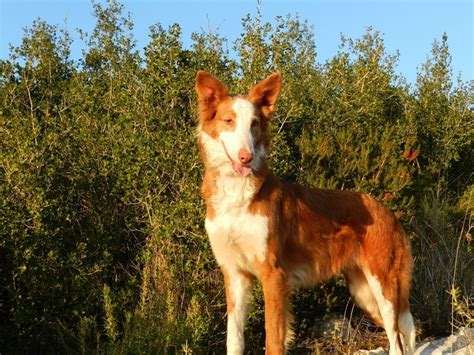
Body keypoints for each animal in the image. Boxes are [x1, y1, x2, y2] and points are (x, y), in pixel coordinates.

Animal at [194, 71, 412, 354]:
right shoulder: (234, 275)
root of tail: (387, 211)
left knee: (397, 339)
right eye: (229, 121)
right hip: (364, 292)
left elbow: (273, 339)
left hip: (383, 287)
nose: (246, 158)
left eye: (254, 124)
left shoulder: (274, 275)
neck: (236, 196)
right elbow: (235, 340)